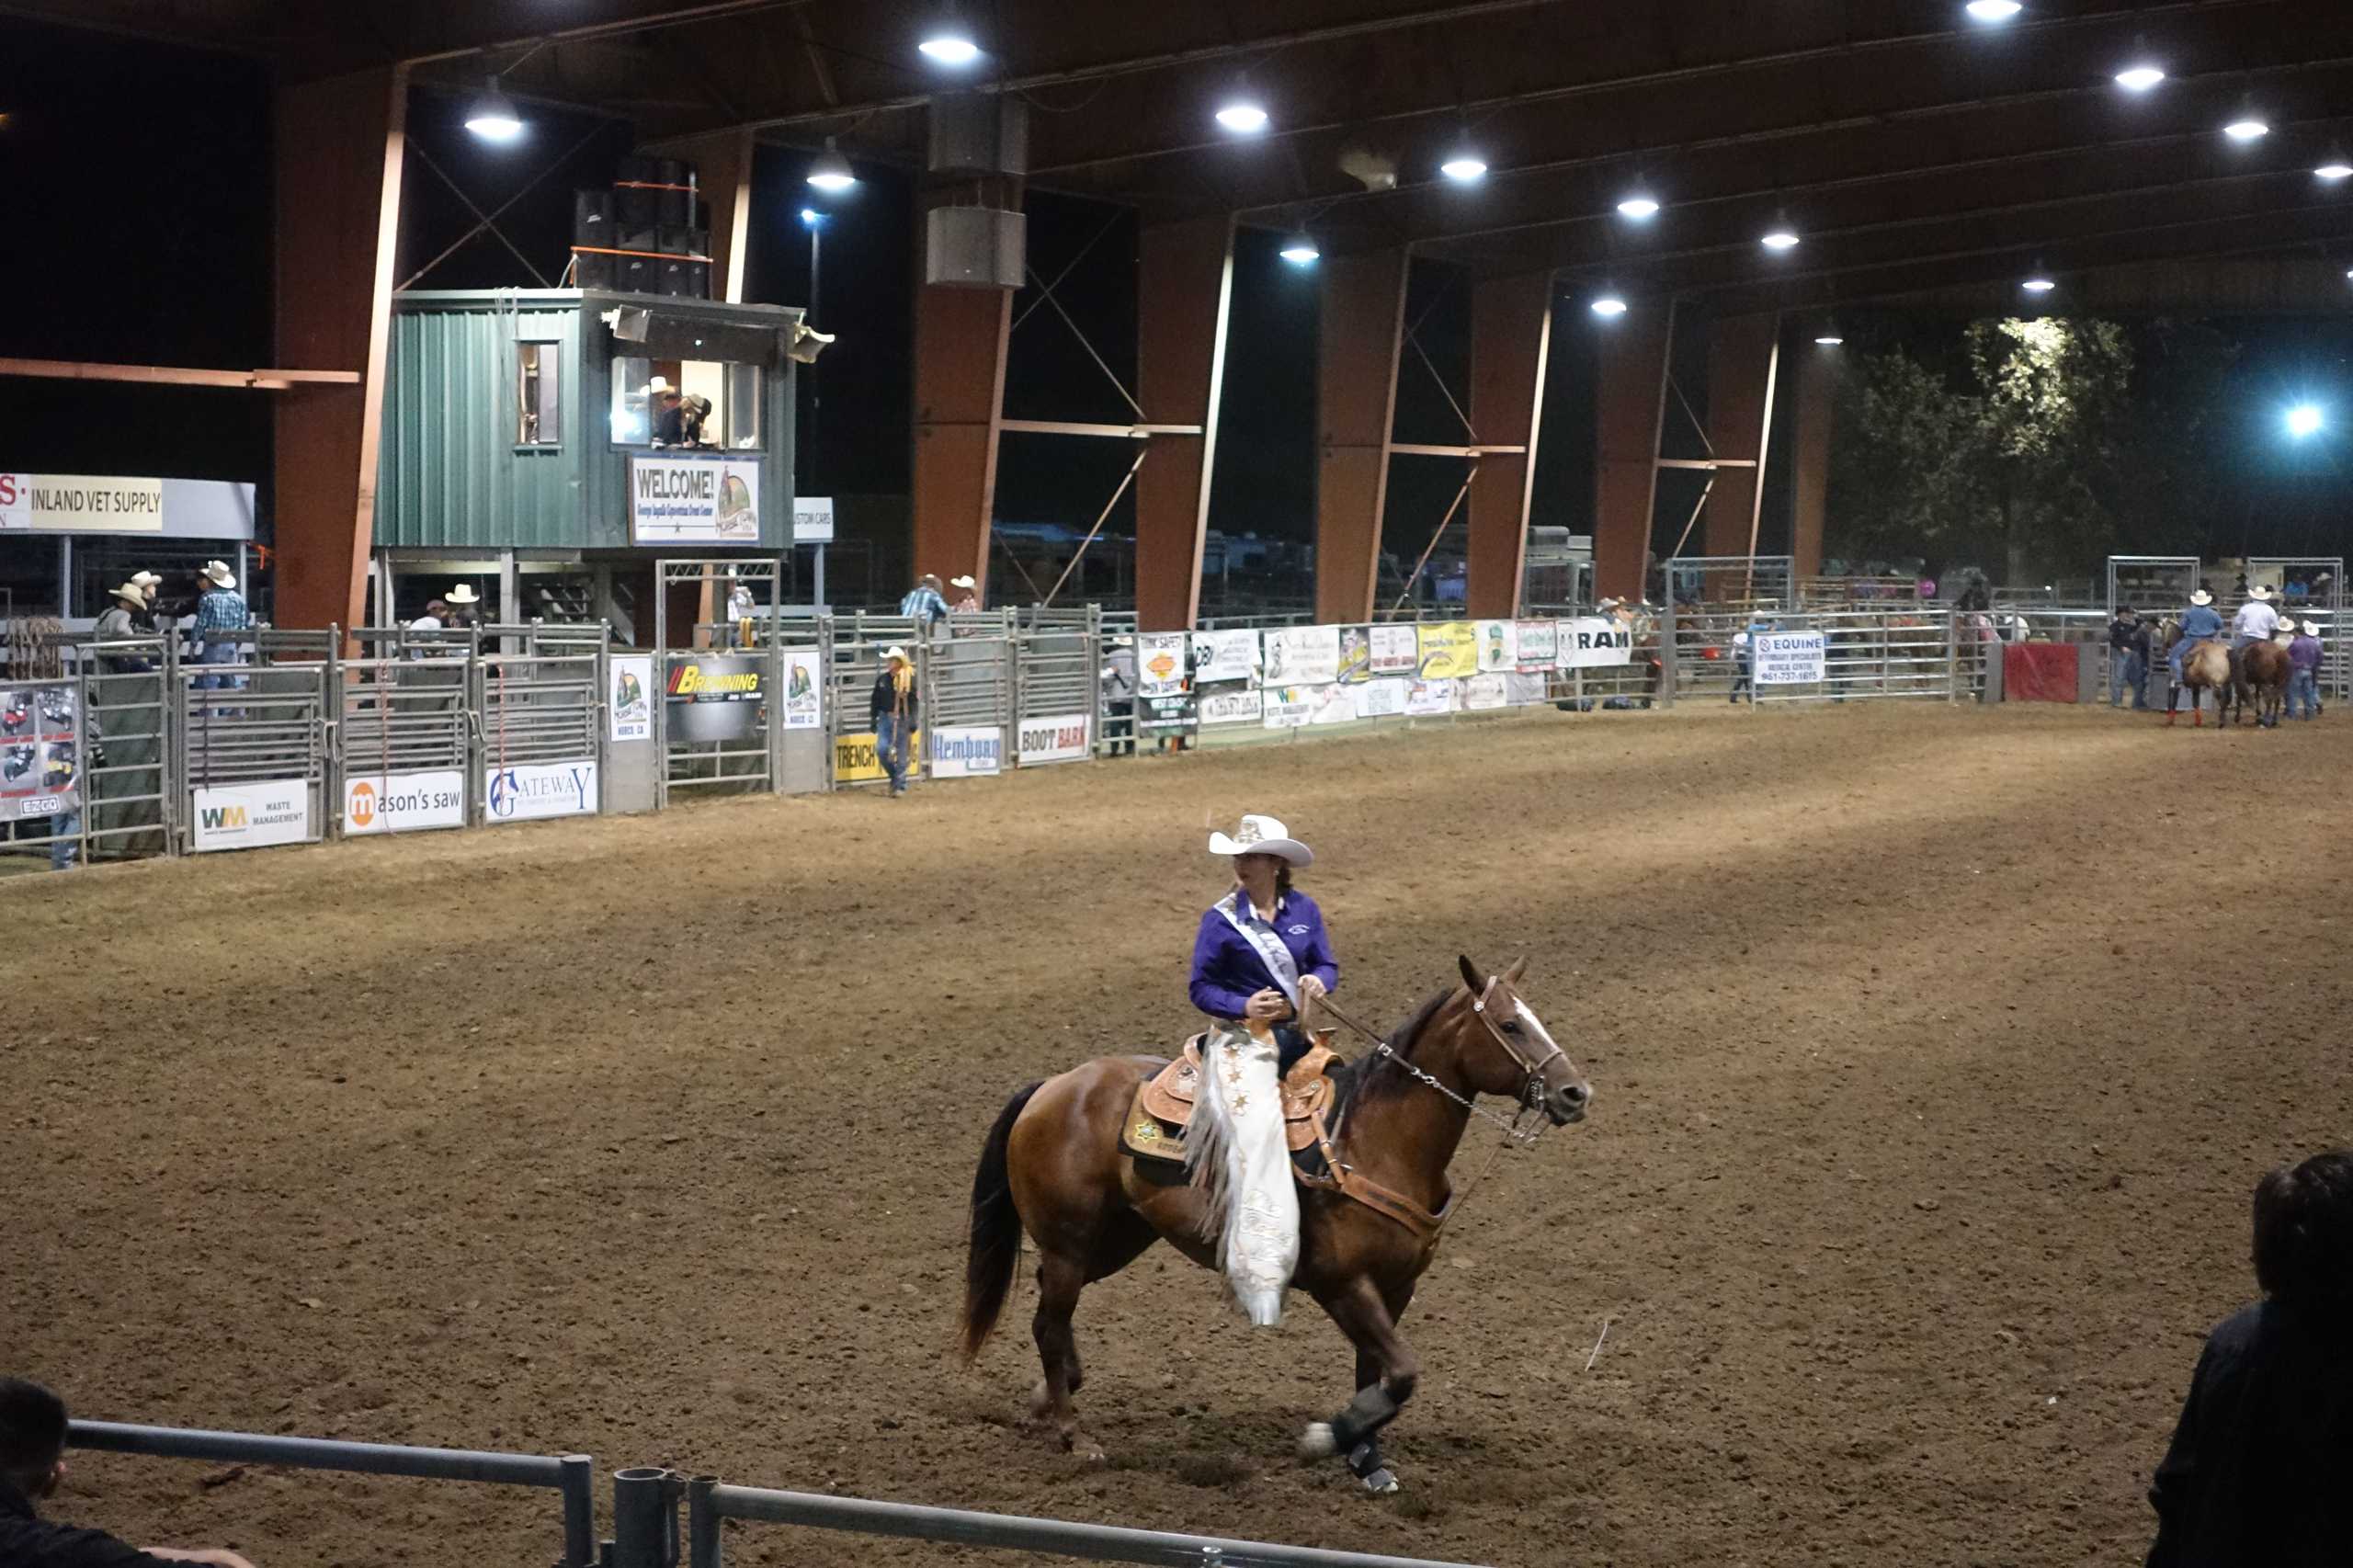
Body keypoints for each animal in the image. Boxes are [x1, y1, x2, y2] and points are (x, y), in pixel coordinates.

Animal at [960, 950, 1599, 1487]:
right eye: (1510, 1025)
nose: (1575, 1093)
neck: (1376, 1141)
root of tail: (1051, 1087)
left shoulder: (1396, 1287)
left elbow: (1376, 1373)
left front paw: (1367, 1461)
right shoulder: (1344, 1284)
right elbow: (1402, 1373)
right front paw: (1325, 1438)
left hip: (1117, 1238)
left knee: (1050, 1312)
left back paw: (1050, 1398)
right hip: (1071, 1243)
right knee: (1049, 1322)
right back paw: (1074, 1434)